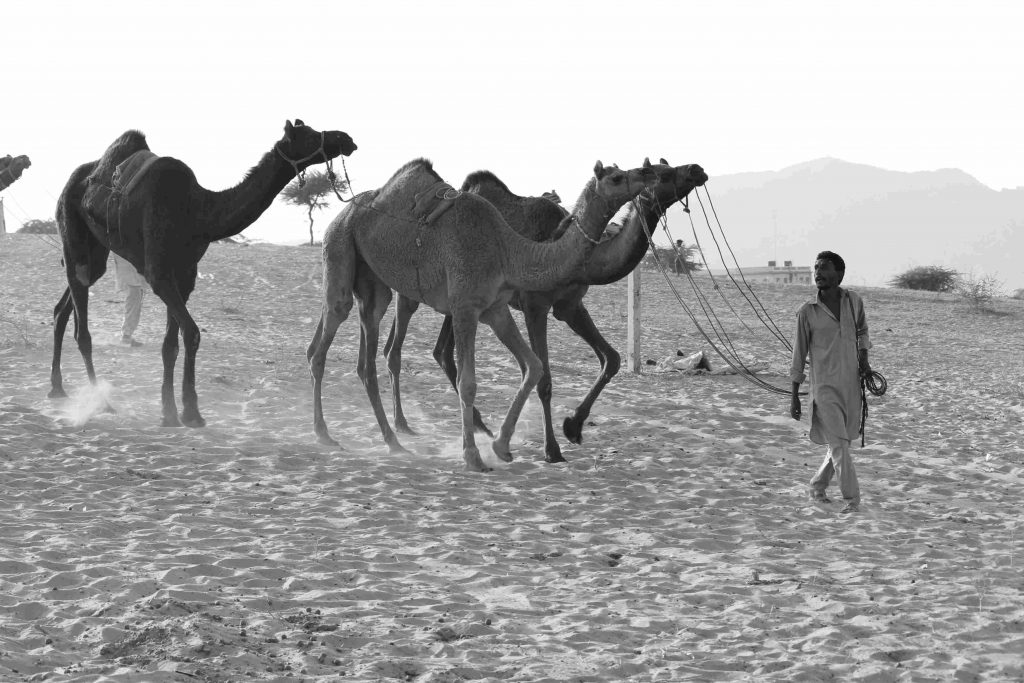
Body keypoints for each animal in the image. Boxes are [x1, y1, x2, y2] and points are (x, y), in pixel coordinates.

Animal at [50, 120, 357, 427]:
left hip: (96, 253)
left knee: (64, 305)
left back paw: (57, 388)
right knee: (82, 328)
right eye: (309, 136)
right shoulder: (159, 273)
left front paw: (174, 411)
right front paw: (189, 412)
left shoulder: (185, 274)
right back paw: (101, 402)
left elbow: (171, 344)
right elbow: (192, 333)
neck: (199, 211)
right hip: (73, 233)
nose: (346, 138)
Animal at [307, 157, 657, 471]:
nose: (647, 172)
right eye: (615, 177)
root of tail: (343, 212)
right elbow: (468, 382)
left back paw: (393, 441)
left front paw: (501, 446)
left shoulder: (495, 308)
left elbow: (534, 366)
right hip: (339, 246)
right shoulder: (465, 307)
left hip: (374, 283)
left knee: (364, 356)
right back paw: (325, 436)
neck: (508, 250)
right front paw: (474, 457)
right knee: (328, 334)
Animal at [383, 159, 708, 462]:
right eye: (663, 173)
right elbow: (545, 379)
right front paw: (552, 449)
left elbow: (612, 359)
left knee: (441, 352)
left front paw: (573, 427)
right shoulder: (535, 306)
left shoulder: (570, 306)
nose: (697, 169)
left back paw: (480, 427)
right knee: (420, 348)